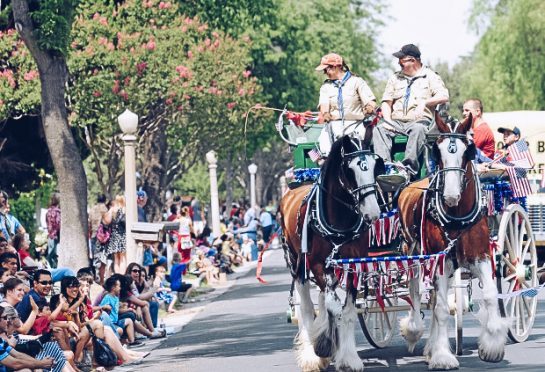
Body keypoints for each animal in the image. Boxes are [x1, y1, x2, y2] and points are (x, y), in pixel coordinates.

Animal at [280, 125, 382, 372]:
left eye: (375, 165)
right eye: (350, 169)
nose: (373, 212)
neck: (339, 220)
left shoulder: (355, 266)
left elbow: (347, 311)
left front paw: (349, 357)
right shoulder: (318, 265)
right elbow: (334, 308)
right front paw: (324, 346)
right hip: (298, 265)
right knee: (307, 307)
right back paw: (312, 353)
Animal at [396, 112, 506, 370]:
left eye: (468, 152)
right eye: (438, 152)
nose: (451, 195)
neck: (457, 216)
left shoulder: (480, 255)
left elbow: (489, 295)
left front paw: (493, 345)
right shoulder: (440, 261)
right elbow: (442, 310)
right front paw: (443, 356)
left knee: (435, 297)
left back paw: (430, 346)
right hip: (413, 253)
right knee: (416, 292)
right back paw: (416, 331)